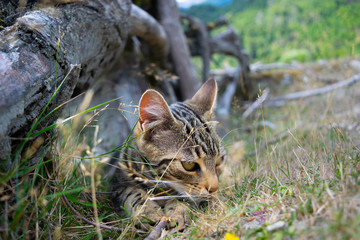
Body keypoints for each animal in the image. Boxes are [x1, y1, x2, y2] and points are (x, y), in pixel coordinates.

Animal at [111, 79, 226, 229]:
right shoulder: (118, 183)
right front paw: (147, 211)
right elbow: (133, 193)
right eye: (189, 165)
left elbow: (184, 196)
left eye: (219, 161)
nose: (214, 188)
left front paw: (177, 210)